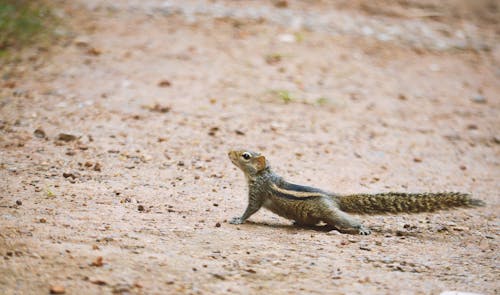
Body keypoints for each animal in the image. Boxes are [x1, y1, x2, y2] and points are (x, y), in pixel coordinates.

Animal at [227, 150, 484, 236]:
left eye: (245, 156)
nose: (229, 151)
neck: (263, 174)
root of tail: (335, 197)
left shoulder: (257, 193)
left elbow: (250, 210)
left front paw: (237, 219)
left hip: (330, 211)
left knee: (346, 219)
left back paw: (362, 228)